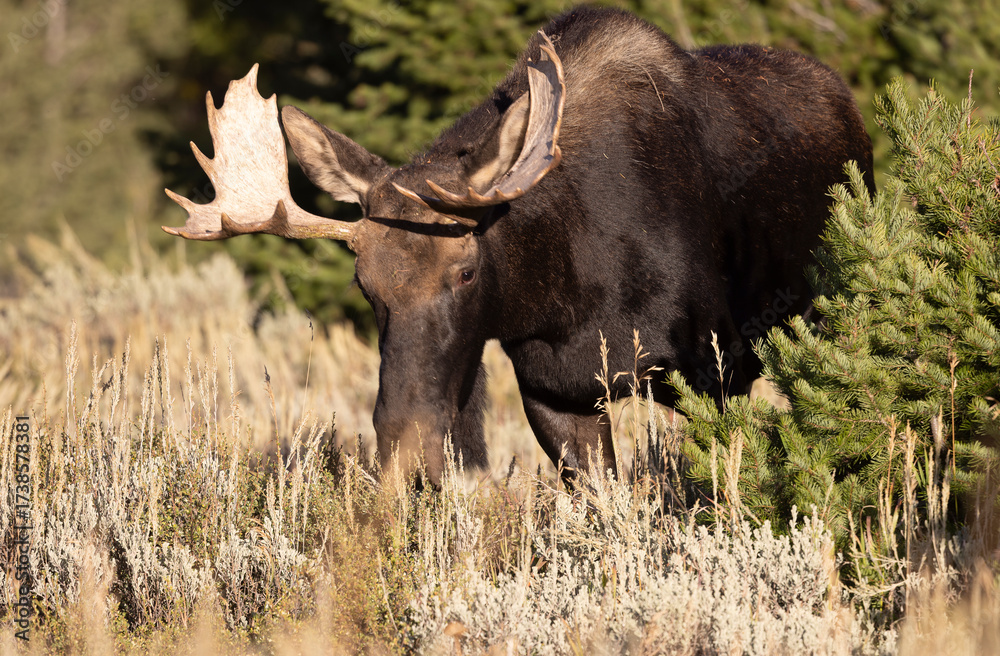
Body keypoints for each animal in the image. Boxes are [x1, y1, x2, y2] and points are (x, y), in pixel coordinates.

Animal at [164, 7, 874, 486]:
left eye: (467, 273)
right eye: (364, 285)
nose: (409, 455)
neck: (569, 295)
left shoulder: (716, 369)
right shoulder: (553, 393)